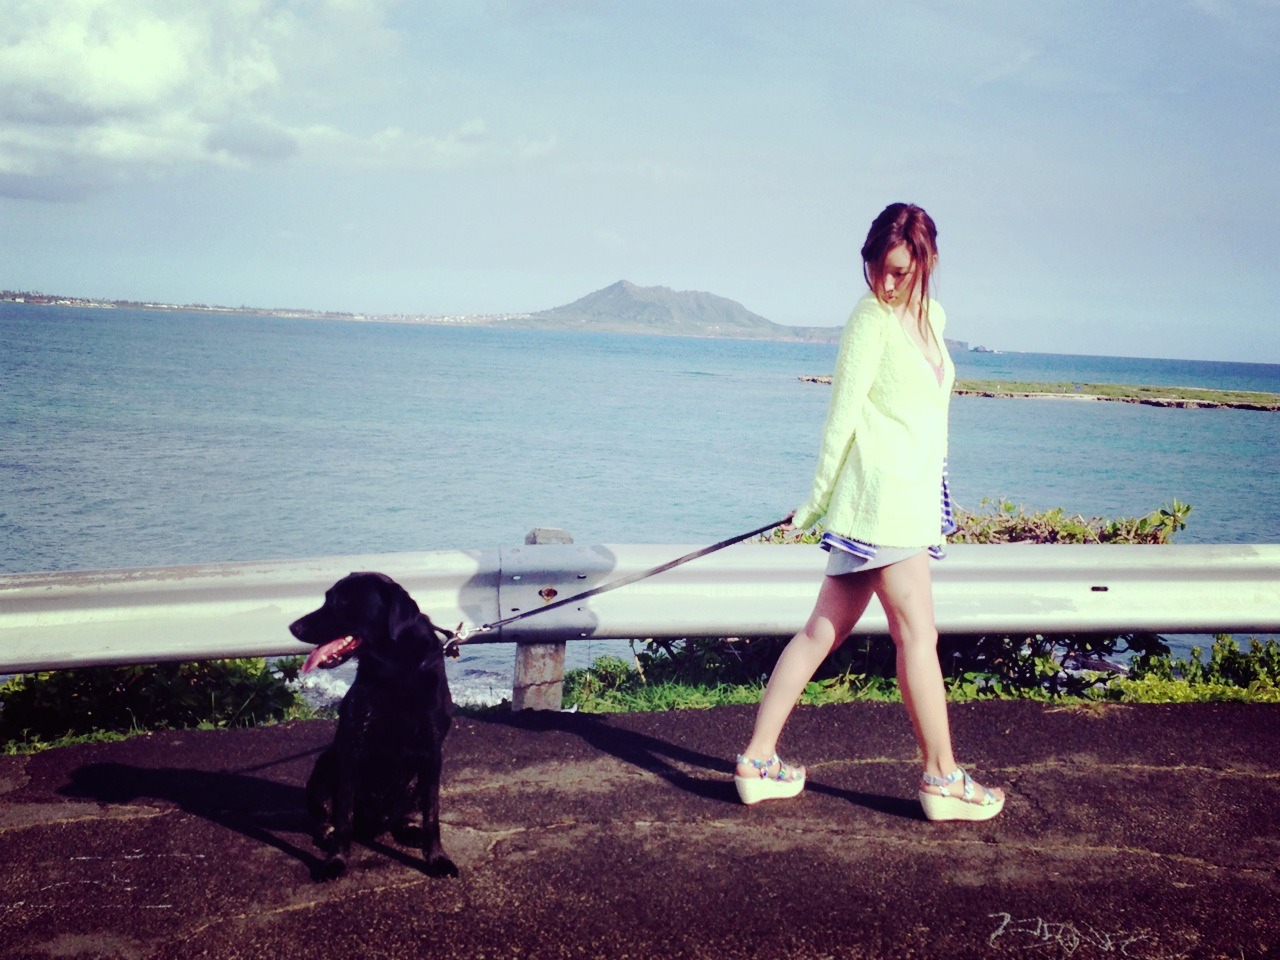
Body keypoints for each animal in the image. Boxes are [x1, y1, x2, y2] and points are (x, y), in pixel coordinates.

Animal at [290, 572, 458, 880]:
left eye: (339, 602)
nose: (293, 626)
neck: (395, 670)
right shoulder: (353, 749)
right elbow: (343, 814)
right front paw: (336, 861)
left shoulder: (431, 753)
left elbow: (432, 814)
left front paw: (438, 859)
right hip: (322, 769)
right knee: (328, 818)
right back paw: (327, 834)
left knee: (406, 816)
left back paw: (409, 830)